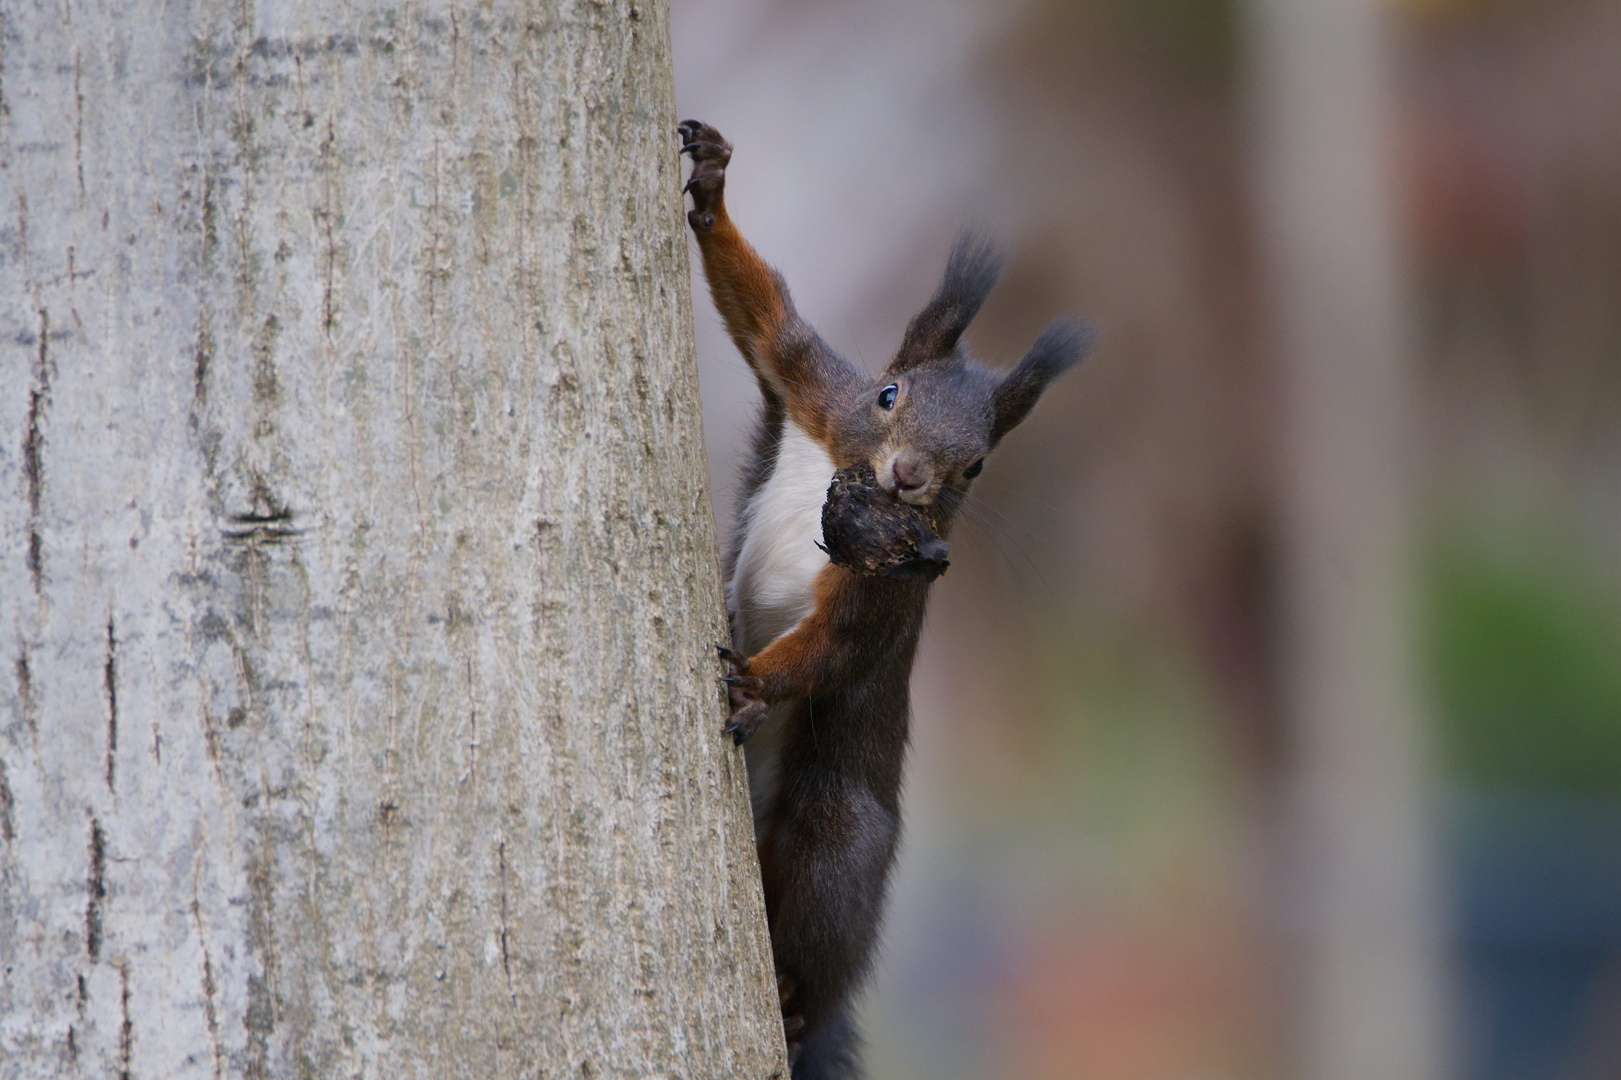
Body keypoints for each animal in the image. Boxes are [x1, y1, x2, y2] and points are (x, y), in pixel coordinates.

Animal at [674, 120, 1089, 1076]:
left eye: (975, 466)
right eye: (887, 393)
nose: (906, 477)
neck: (850, 473)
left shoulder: (886, 593)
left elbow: (832, 646)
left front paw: (753, 682)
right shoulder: (810, 387)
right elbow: (763, 313)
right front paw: (711, 184)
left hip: (836, 828)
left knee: (823, 915)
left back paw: (796, 1005)